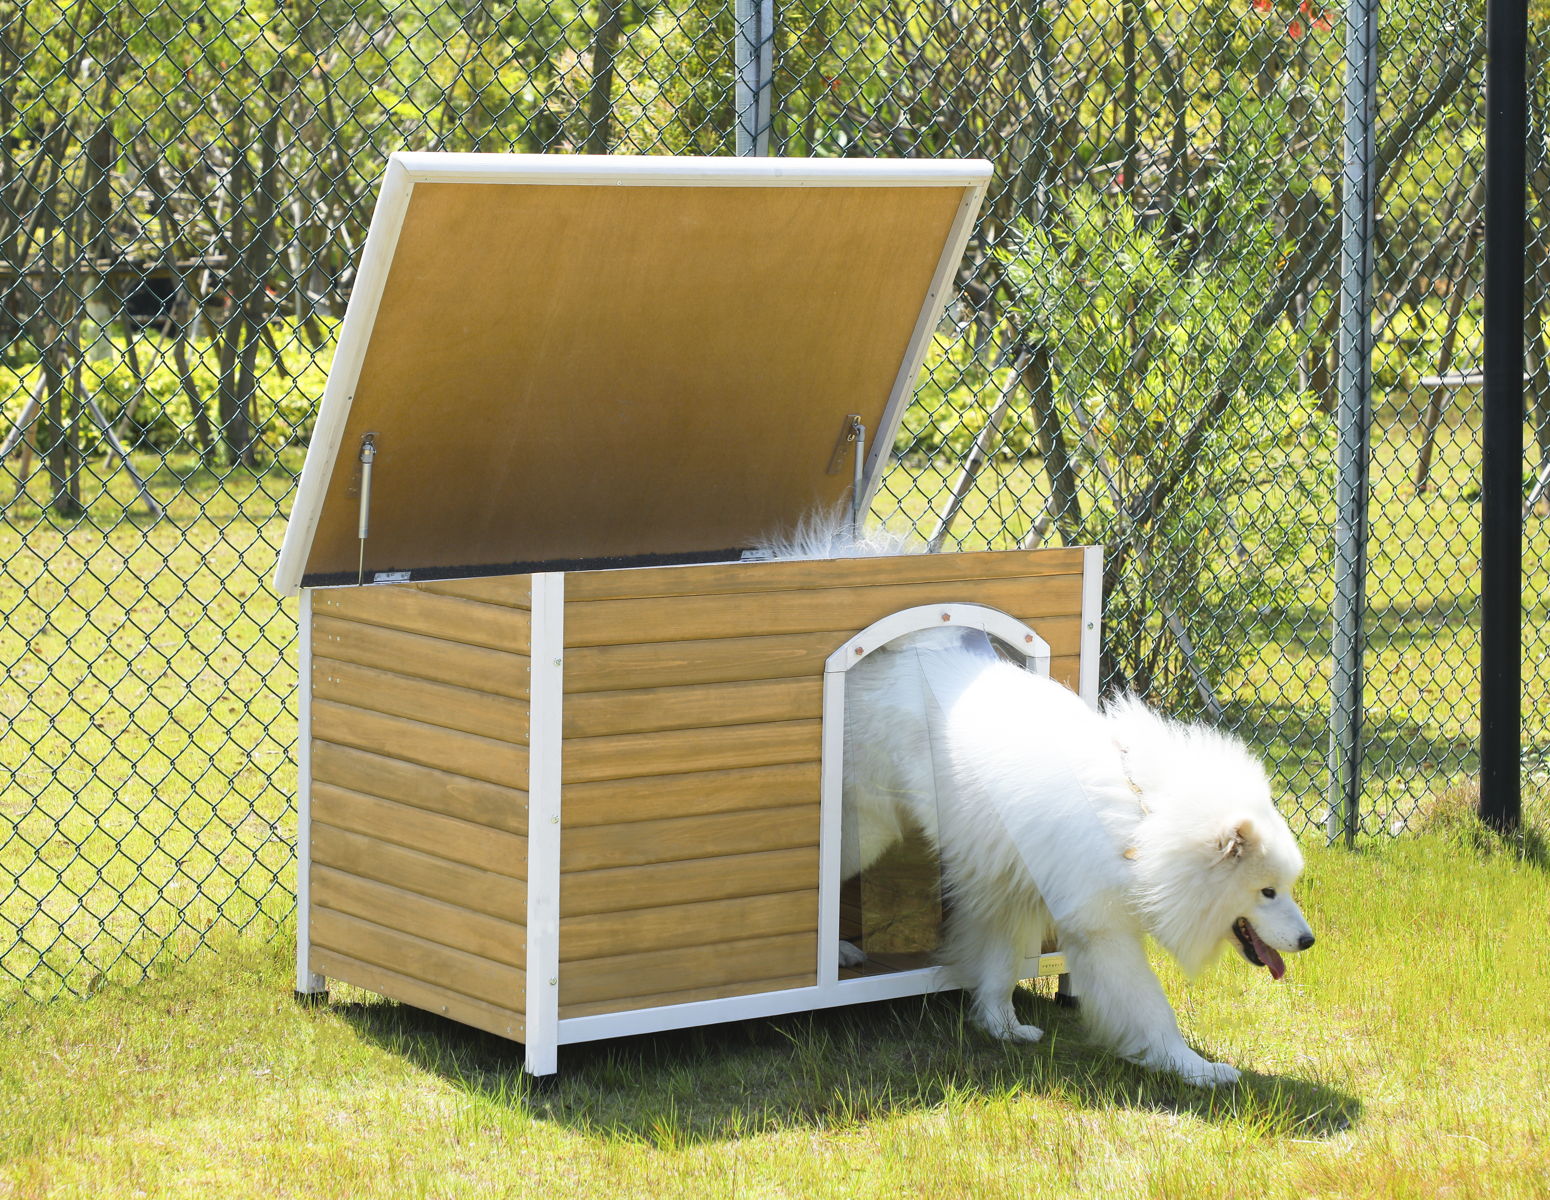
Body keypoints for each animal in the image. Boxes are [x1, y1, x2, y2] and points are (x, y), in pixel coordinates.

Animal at [768, 520, 1314, 1085]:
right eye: (1267, 891)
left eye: (1288, 888)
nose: (1308, 941)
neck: (1144, 821)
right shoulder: (1102, 929)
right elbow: (1150, 1007)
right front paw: (1193, 1068)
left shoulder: (1012, 887)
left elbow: (999, 966)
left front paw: (1001, 1026)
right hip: (868, 831)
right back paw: (837, 948)